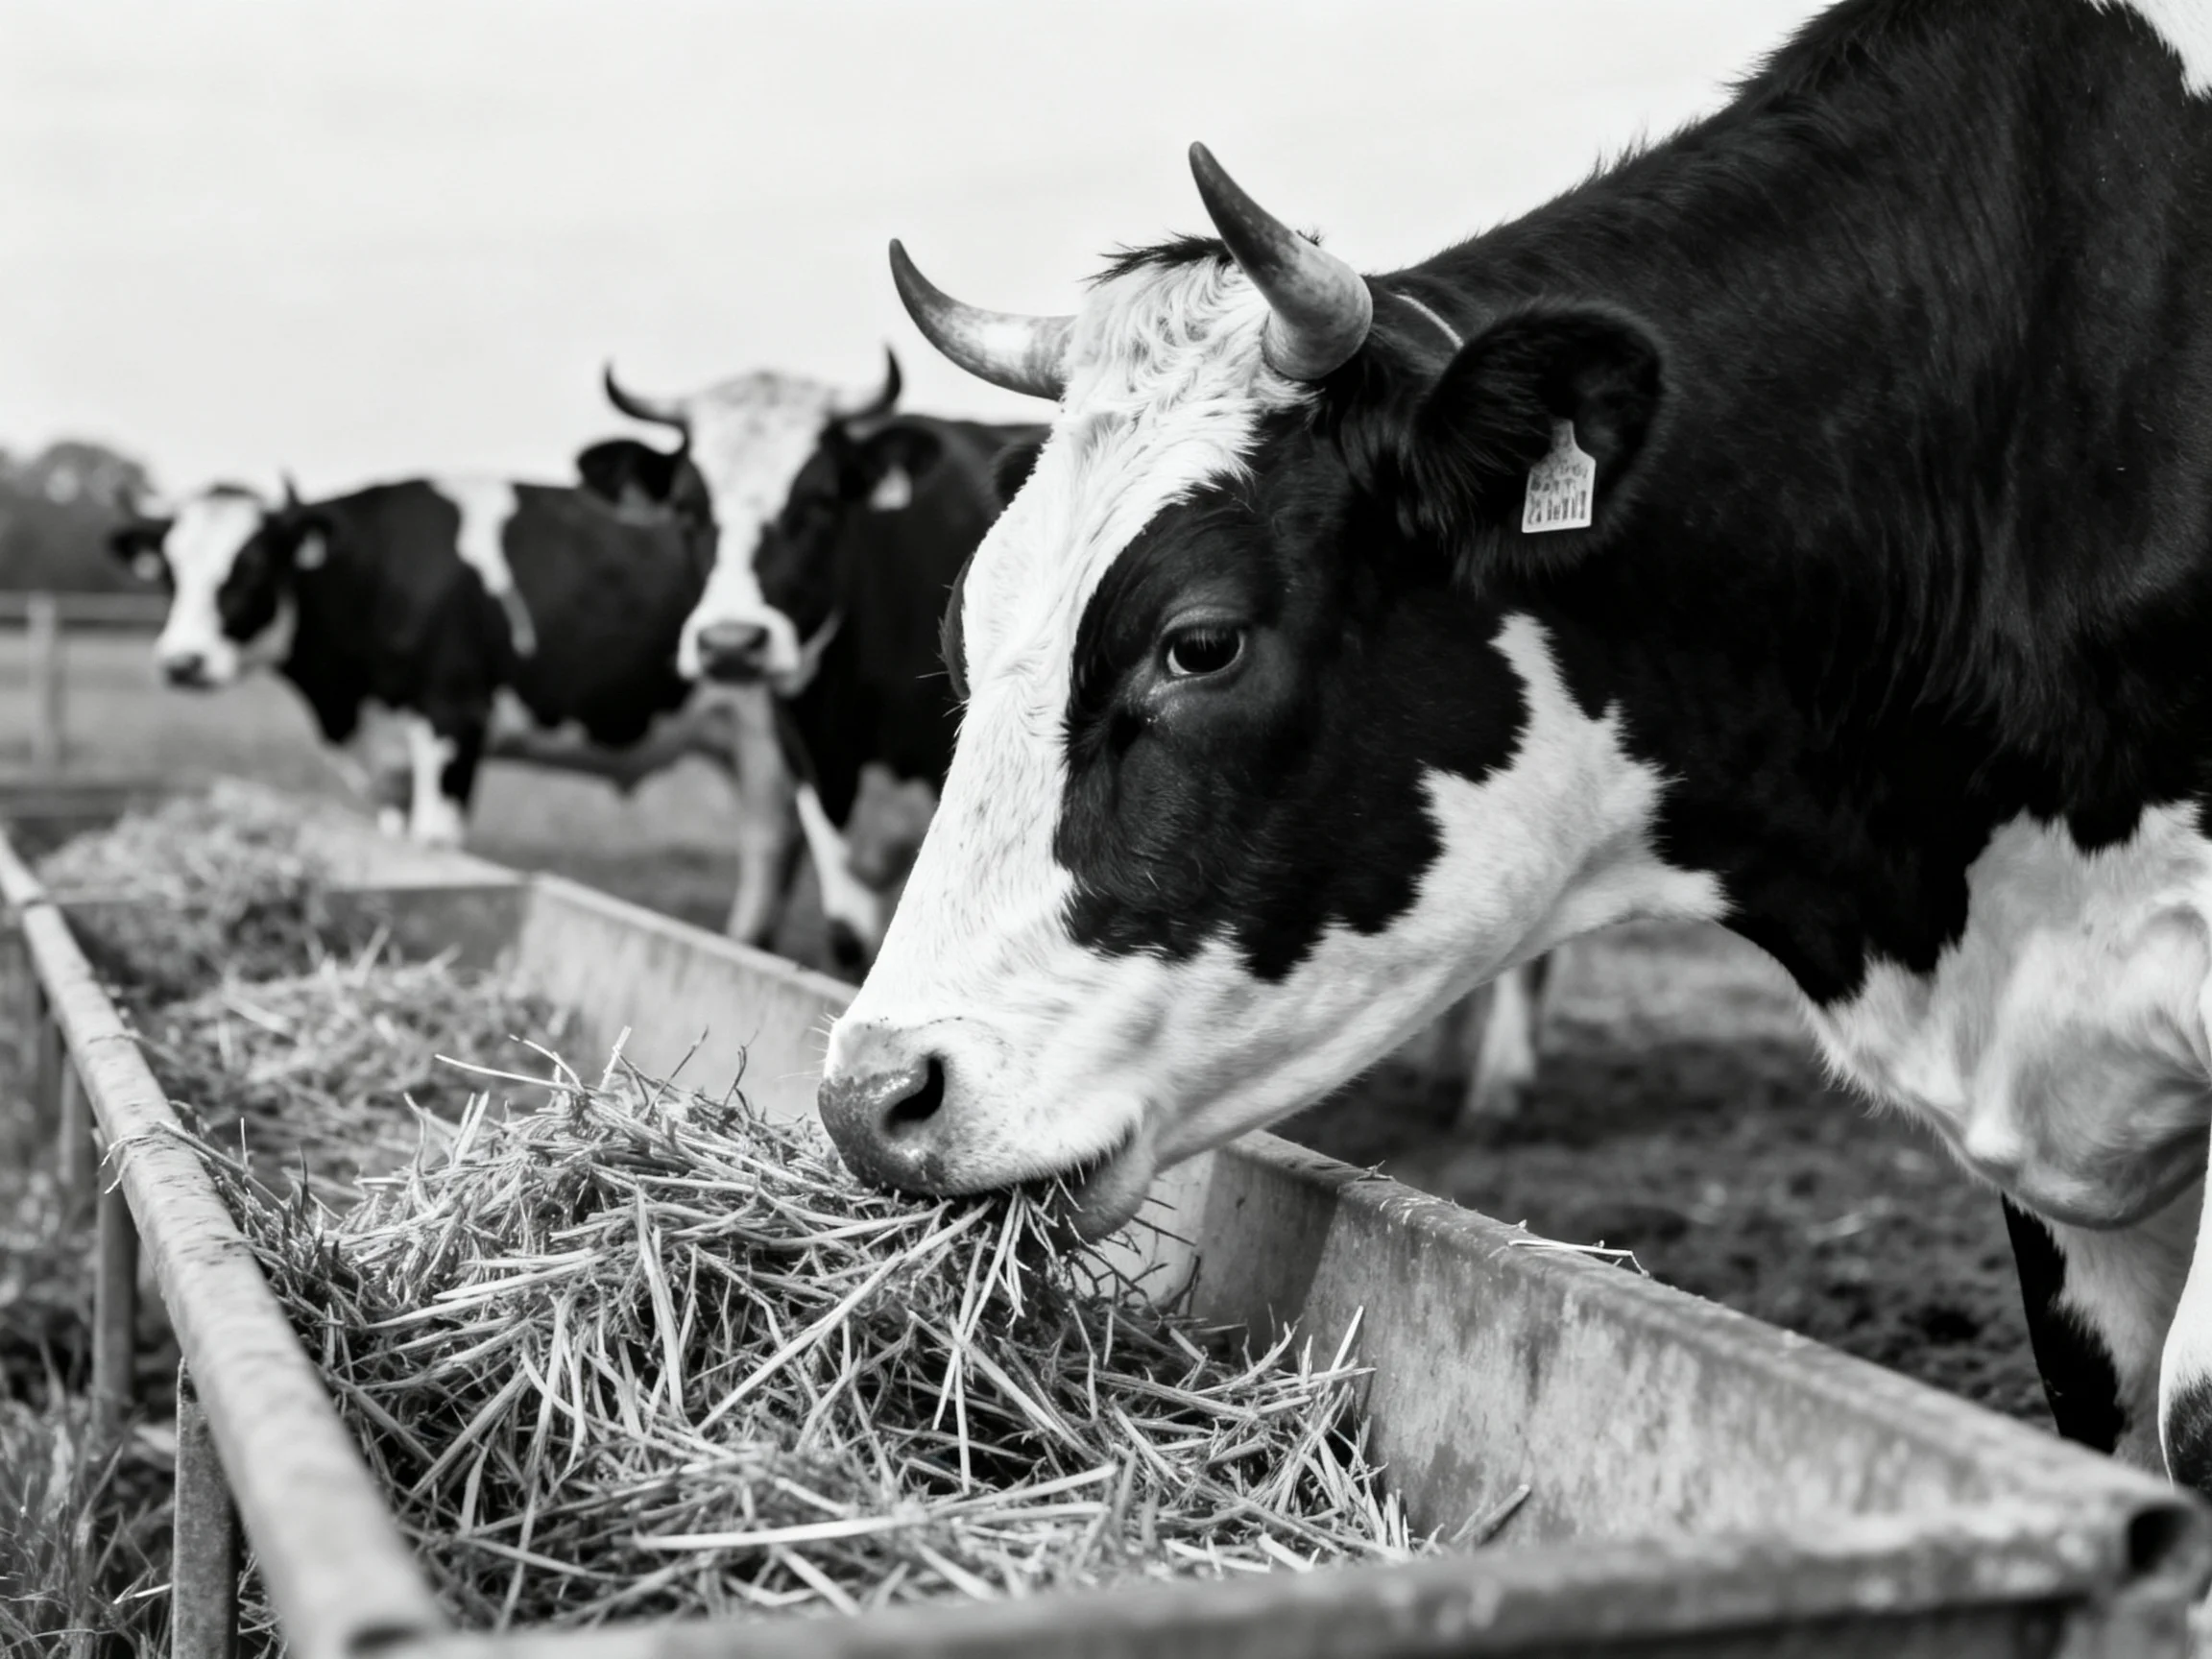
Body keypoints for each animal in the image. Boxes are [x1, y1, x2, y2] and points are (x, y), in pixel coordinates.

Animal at [109, 472, 796, 942]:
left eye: (250, 568)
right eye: (168, 574)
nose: (181, 662)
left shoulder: (454, 720)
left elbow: (434, 844)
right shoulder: (386, 756)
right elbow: (400, 847)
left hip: (767, 737)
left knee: (770, 847)